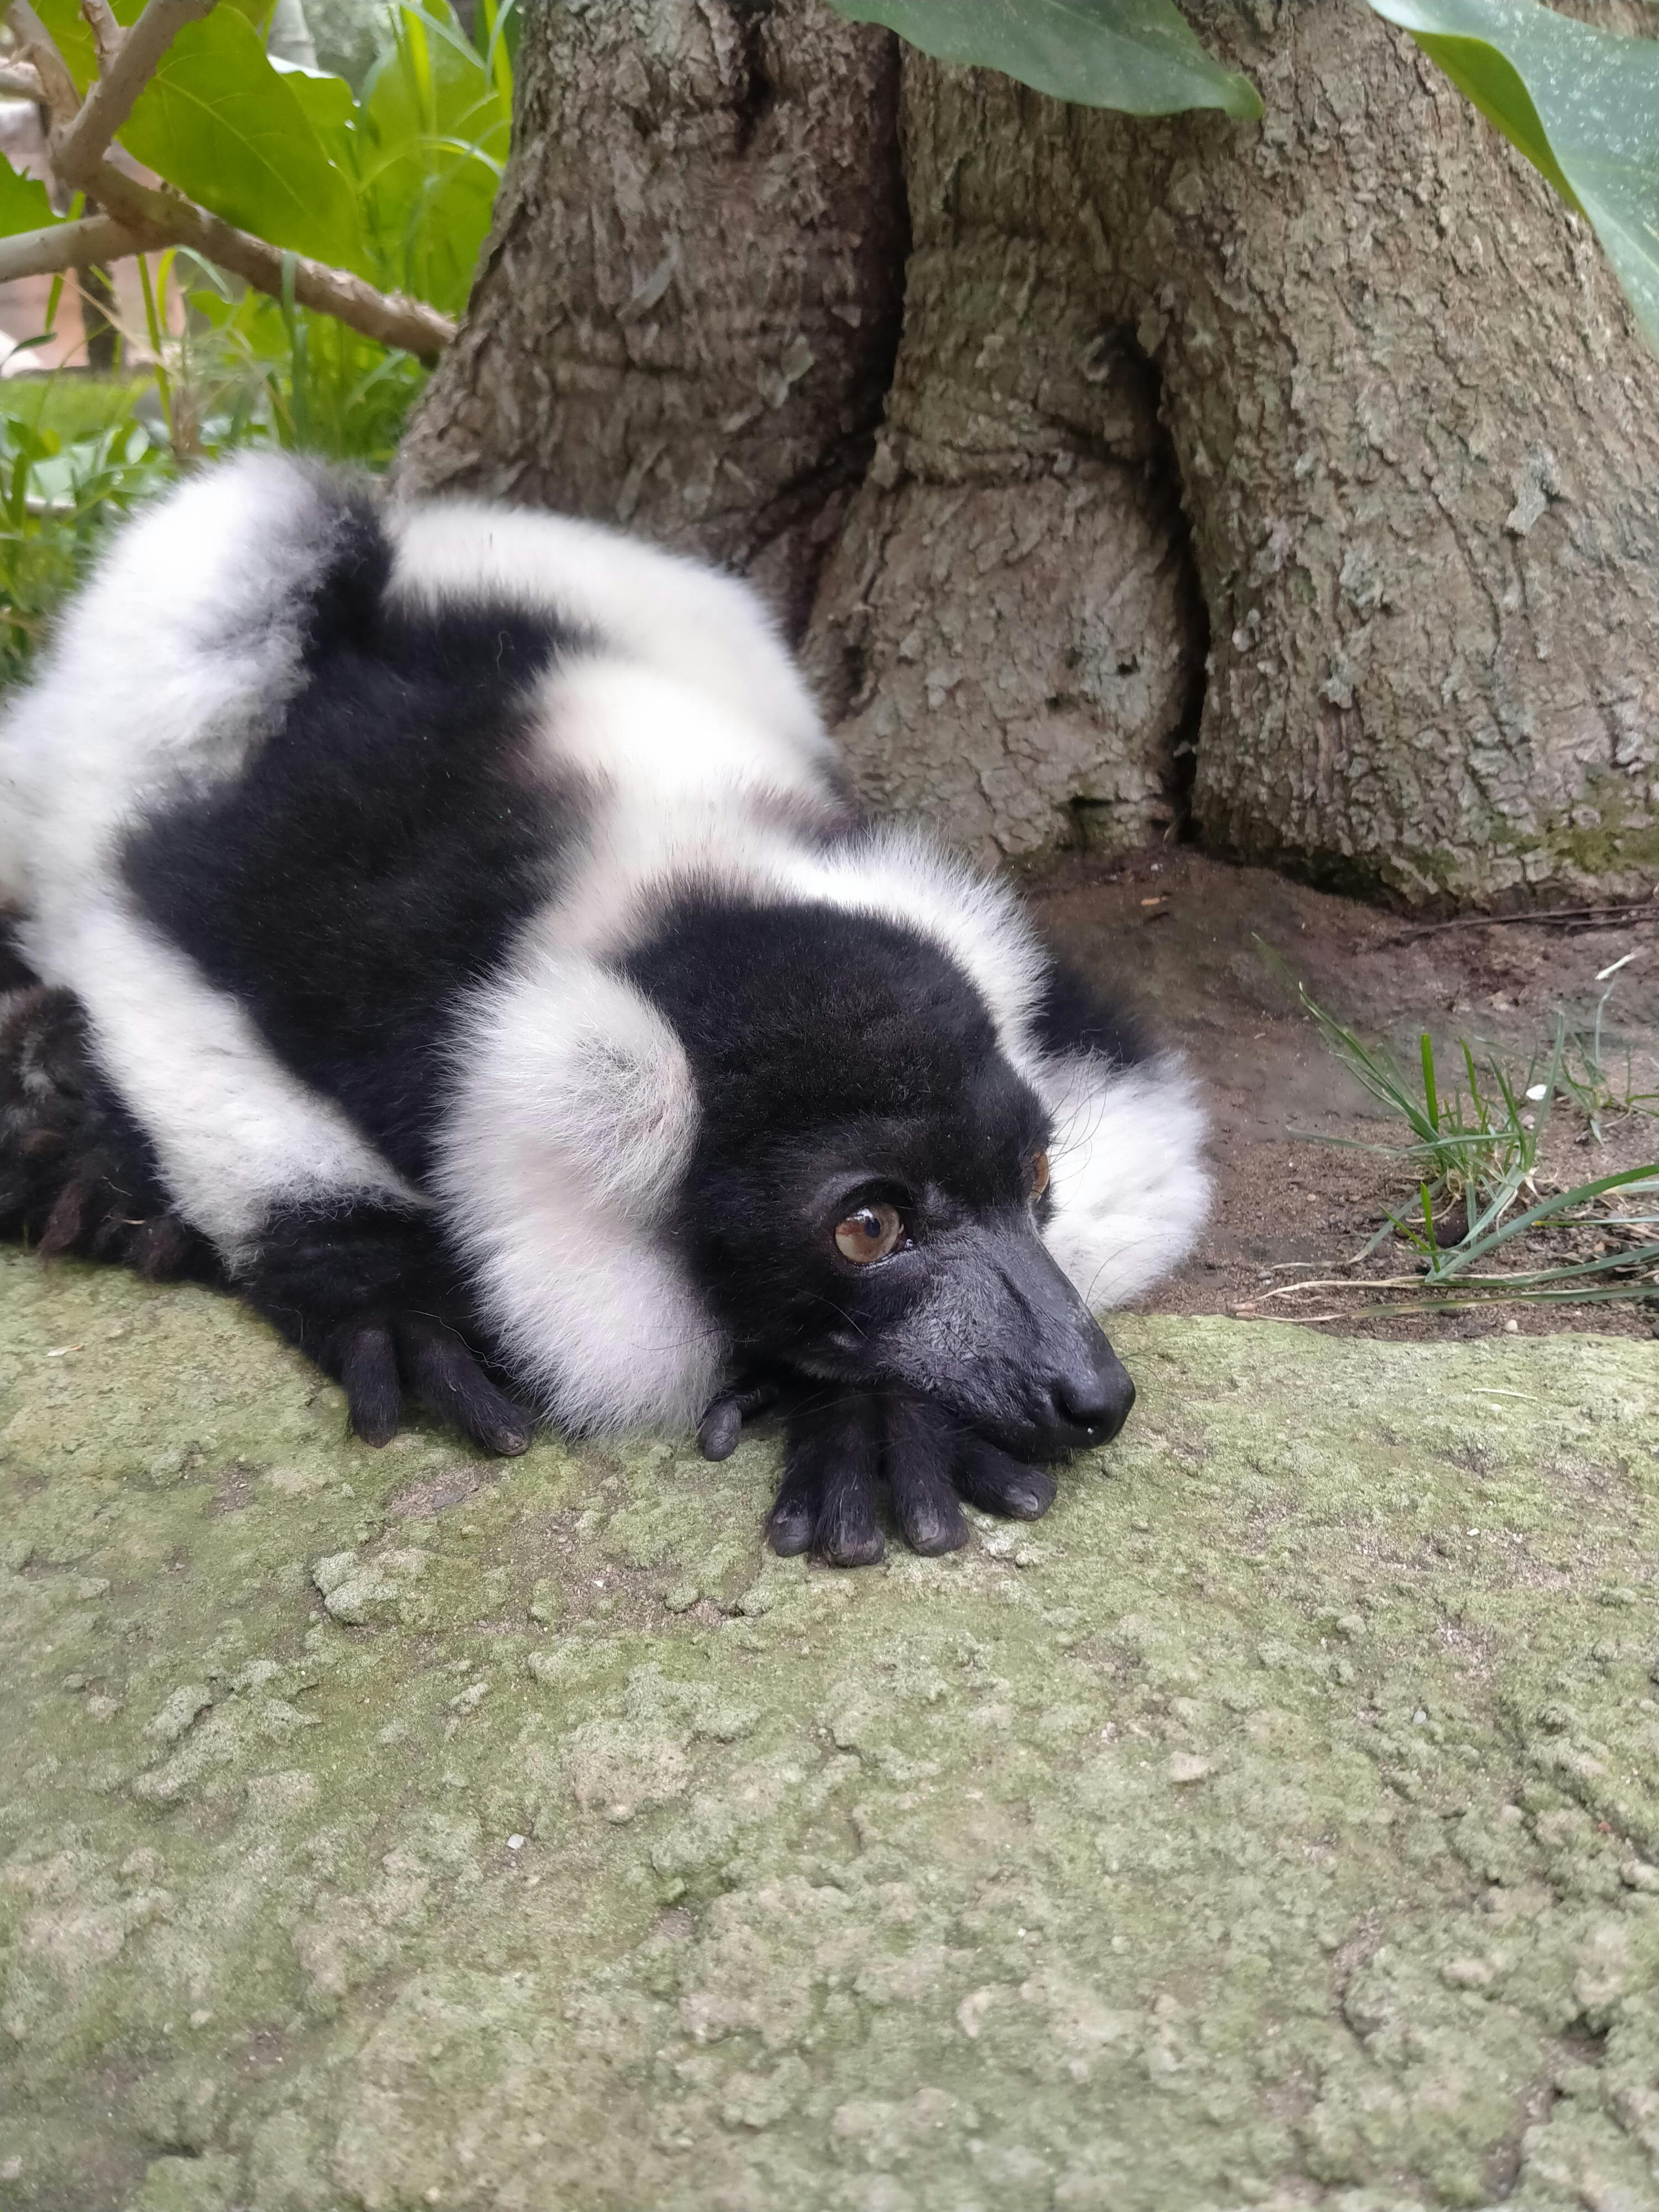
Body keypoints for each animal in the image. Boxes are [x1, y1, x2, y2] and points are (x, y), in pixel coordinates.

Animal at [0, 454, 1209, 1565]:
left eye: (1037, 1177)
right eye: (868, 1228)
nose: (1092, 1394)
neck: (666, 873)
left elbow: (1144, 1130)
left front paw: (876, 1412)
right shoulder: (300, 917)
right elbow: (155, 969)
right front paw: (385, 1289)